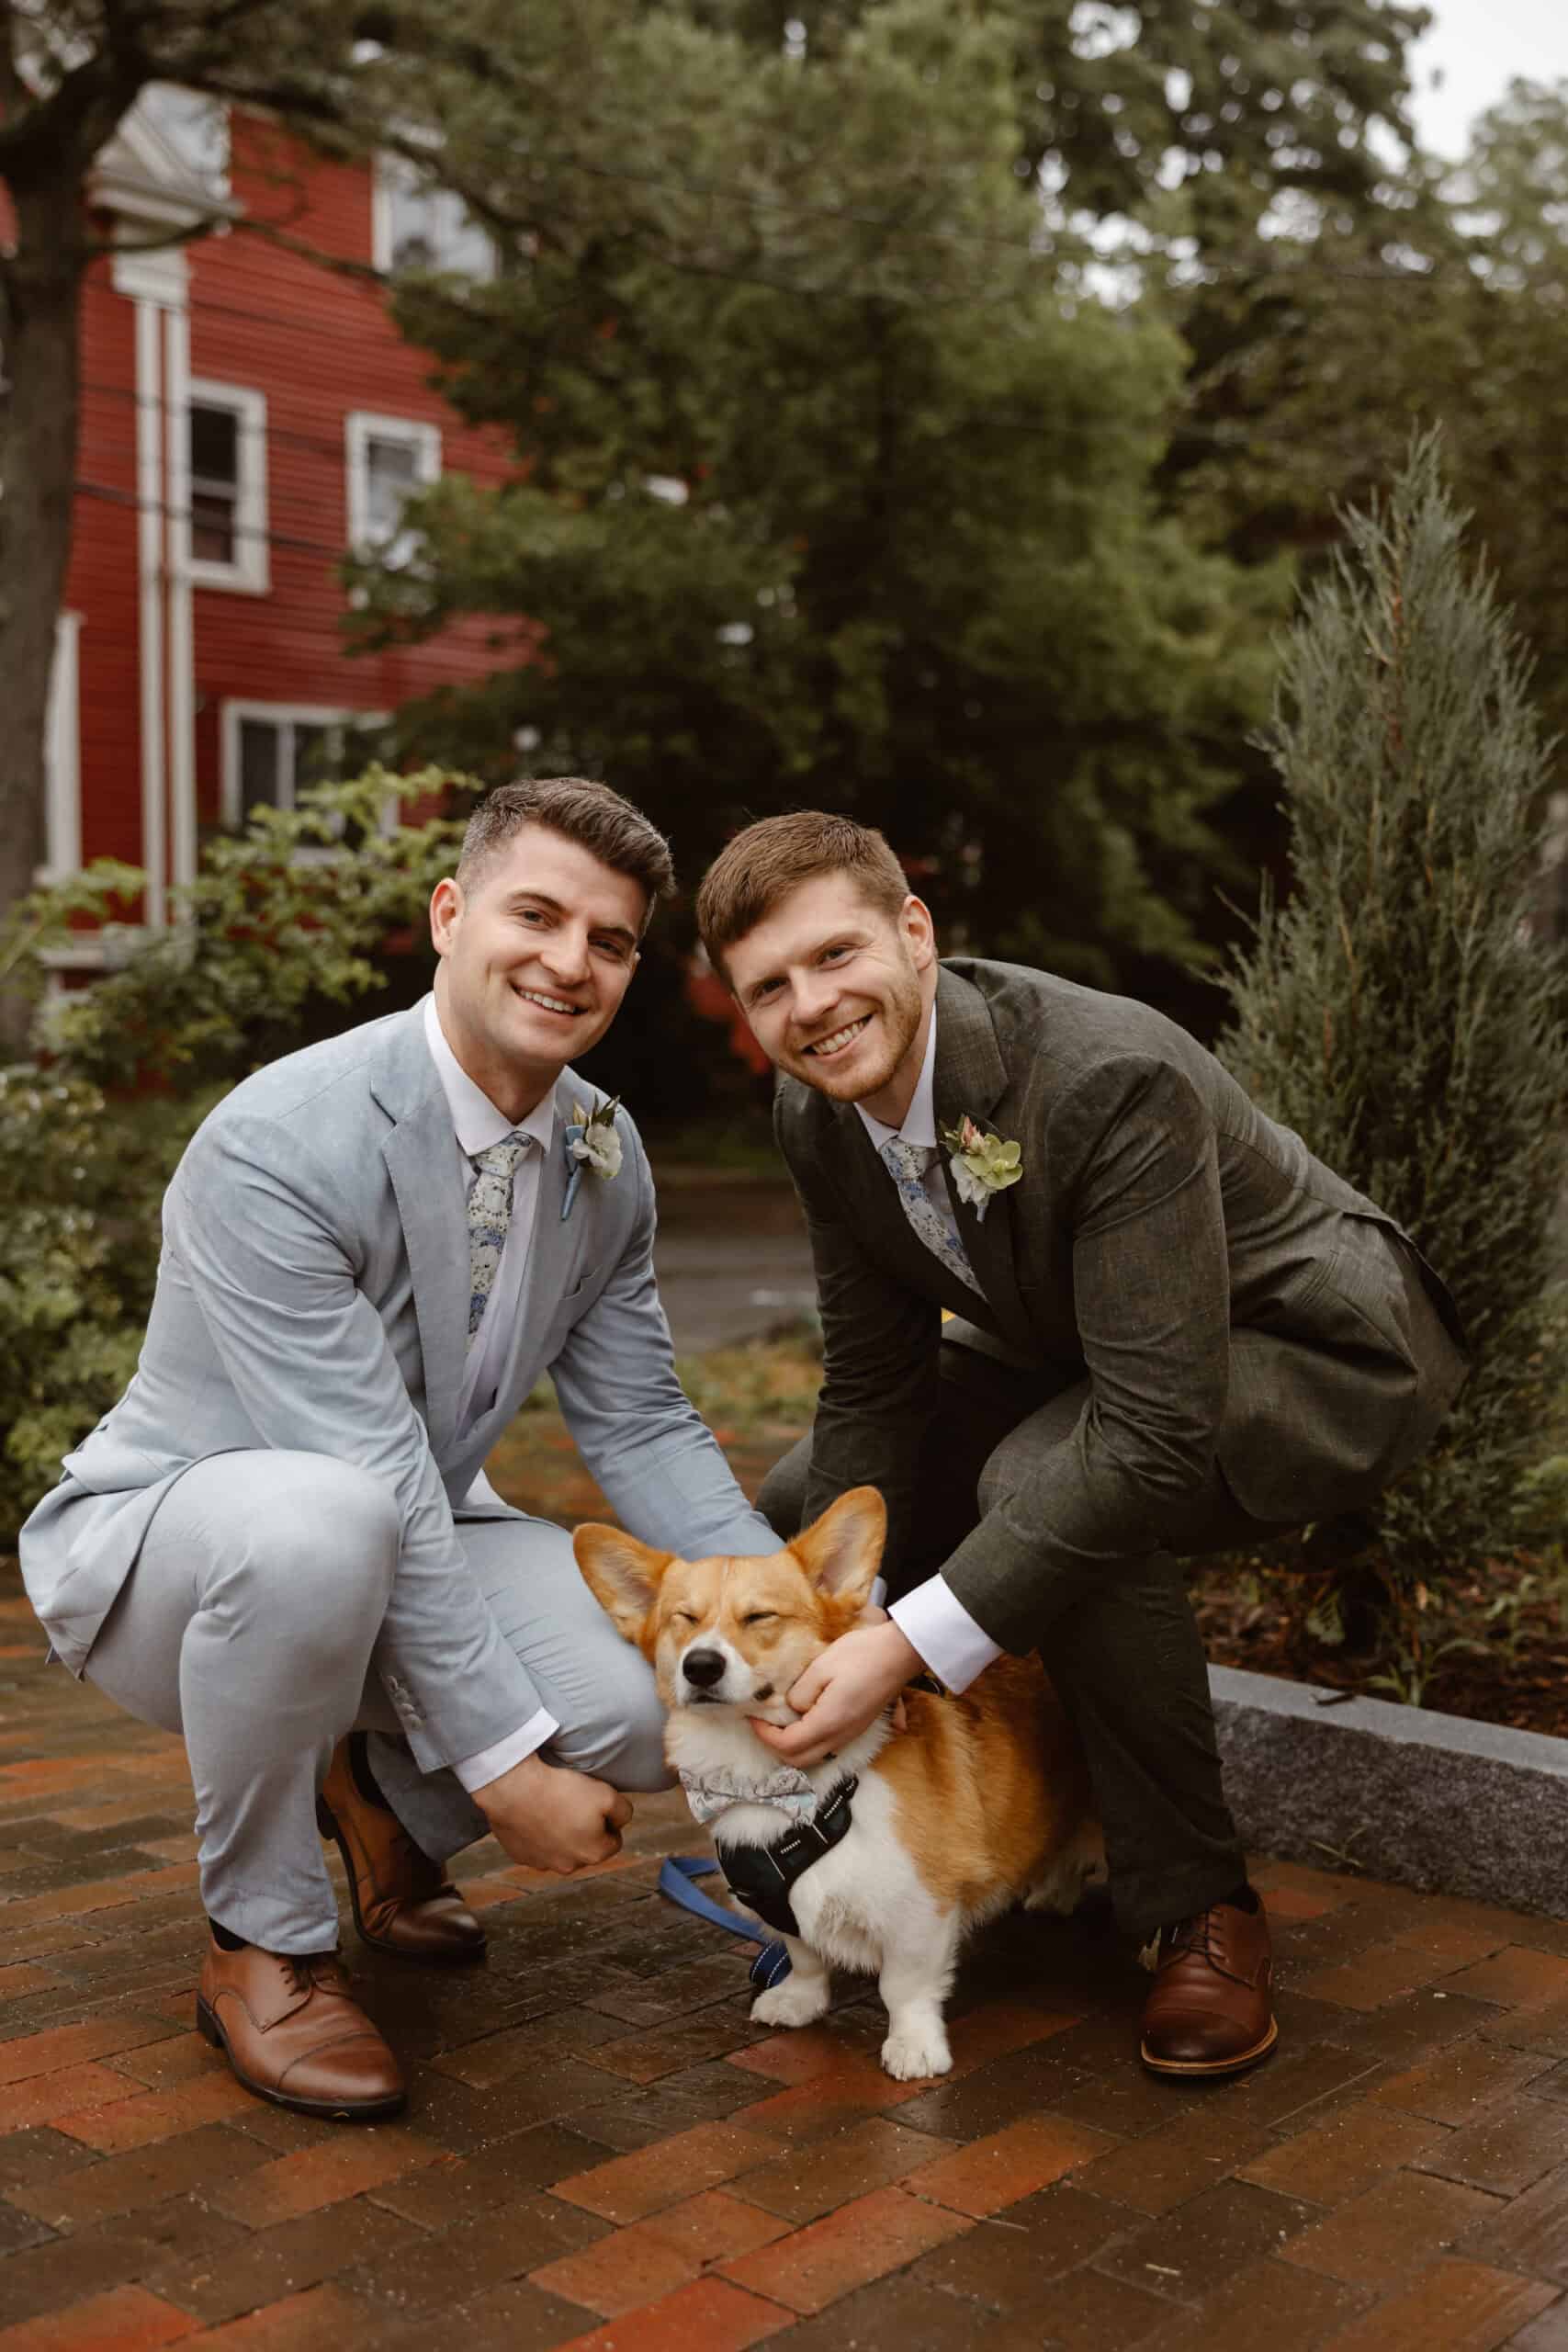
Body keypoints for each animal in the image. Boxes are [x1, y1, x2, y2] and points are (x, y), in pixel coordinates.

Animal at [576, 1486, 1104, 2079]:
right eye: (683, 1619)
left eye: (759, 1616)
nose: (701, 1666)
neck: (769, 1782)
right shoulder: (781, 1908)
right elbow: (804, 1957)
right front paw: (796, 2002)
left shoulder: (923, 1907)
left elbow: (905, 1986)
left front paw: (915, 2047)